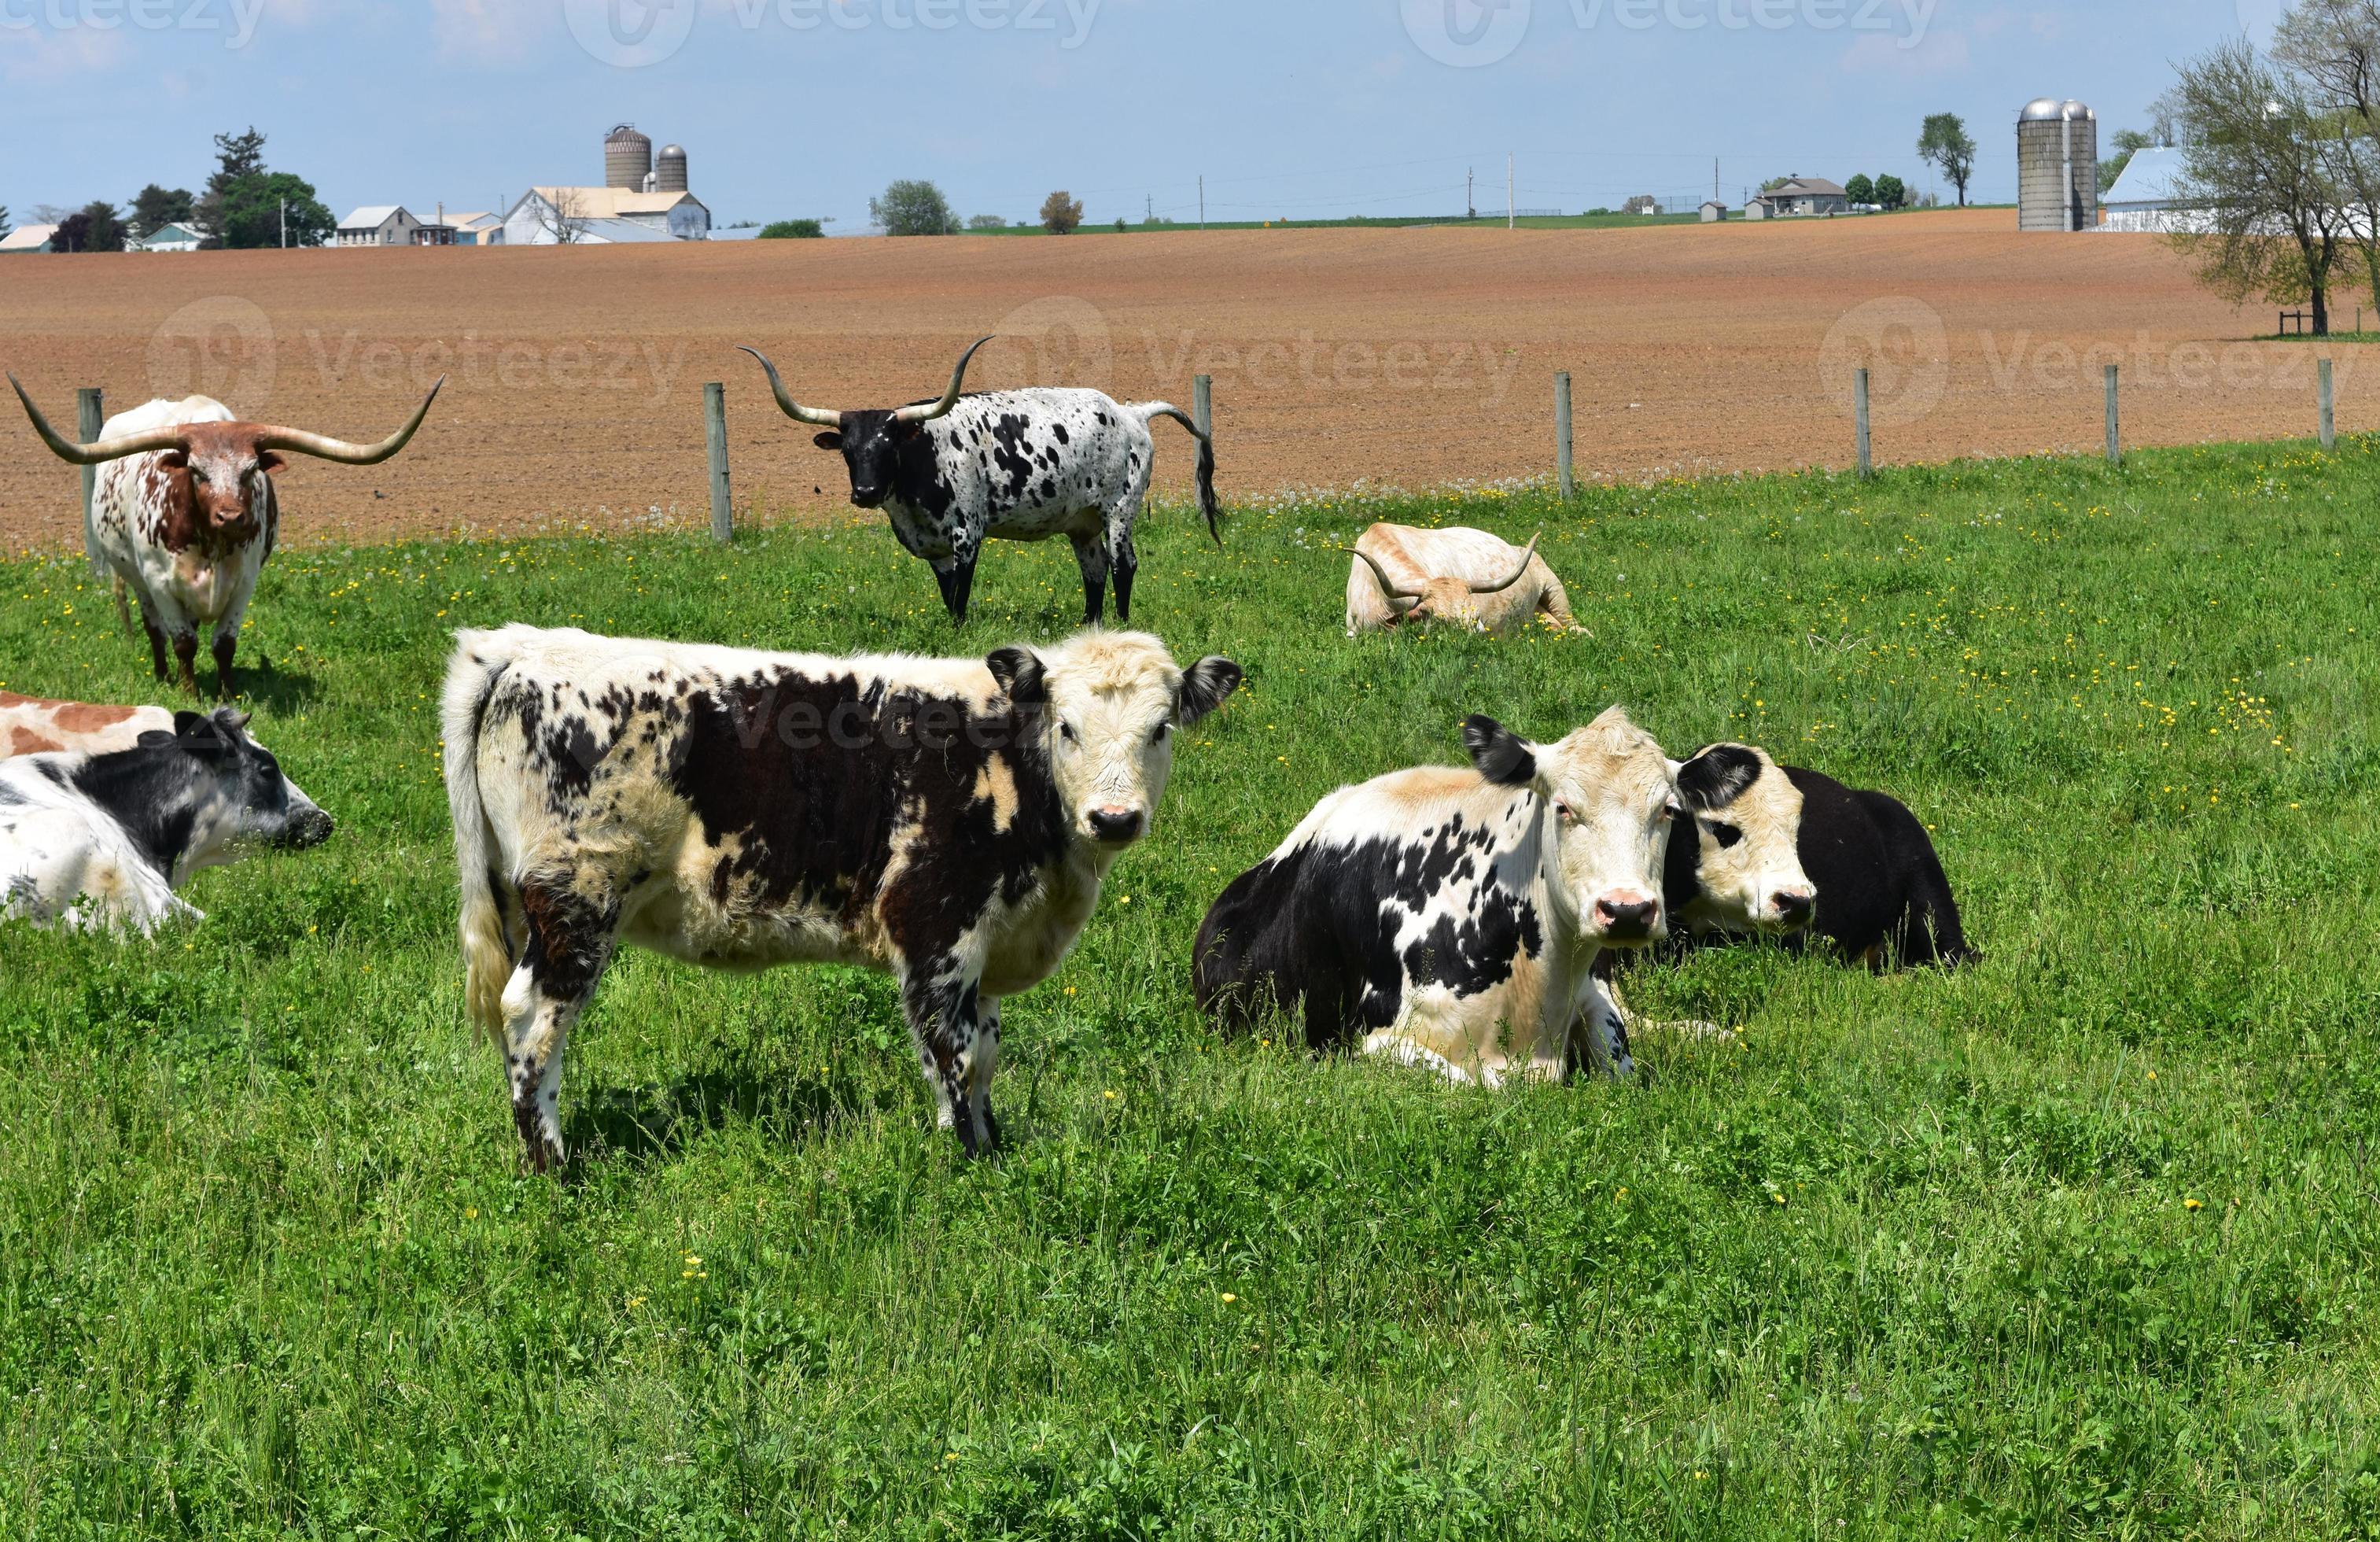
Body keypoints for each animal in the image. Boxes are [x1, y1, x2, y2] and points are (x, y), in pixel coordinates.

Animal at [8, 375, 443, 699]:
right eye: (196, 471)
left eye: (250, 470)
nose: (231, 516)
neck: (211, 546)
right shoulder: (160, 582)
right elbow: (182, 641)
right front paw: (189, 694)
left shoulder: (244, 582)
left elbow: (224, 644)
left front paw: (227, 693)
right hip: (138, 581)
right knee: (154, 630)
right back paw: (163, 675)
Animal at [442, 624, 1242, 1170]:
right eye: (1067, 727)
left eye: (1160, 729)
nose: (1115, 818)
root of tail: (523, 646)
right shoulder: (935, 928)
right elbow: (953, 1055)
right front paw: (968, 1164)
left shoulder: (986, 944)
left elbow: (986, 1051)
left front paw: (993, 1143)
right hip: (577, 896)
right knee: (534, 1019)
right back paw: (554, 1165)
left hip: (524, 906)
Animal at [740, 338, 1220, 627]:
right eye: (848, 451)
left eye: (889, 447)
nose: (866, 493)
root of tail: (1131, 412)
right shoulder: (934, 550)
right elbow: (946, 593)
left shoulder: (967, 534)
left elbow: (961, 596)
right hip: (1080, 523)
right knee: (1095, 569)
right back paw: (1090, 626)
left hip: (1120, 511)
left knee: (1123, 565)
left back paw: (1120, 626)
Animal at [1192, 709, 1680, 1086]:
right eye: (1563, 807)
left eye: (1668, 810)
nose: (1627, 911)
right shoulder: (1372, 1040)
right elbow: (1482, 1084)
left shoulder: (1594, 990)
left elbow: (1620, 1066)